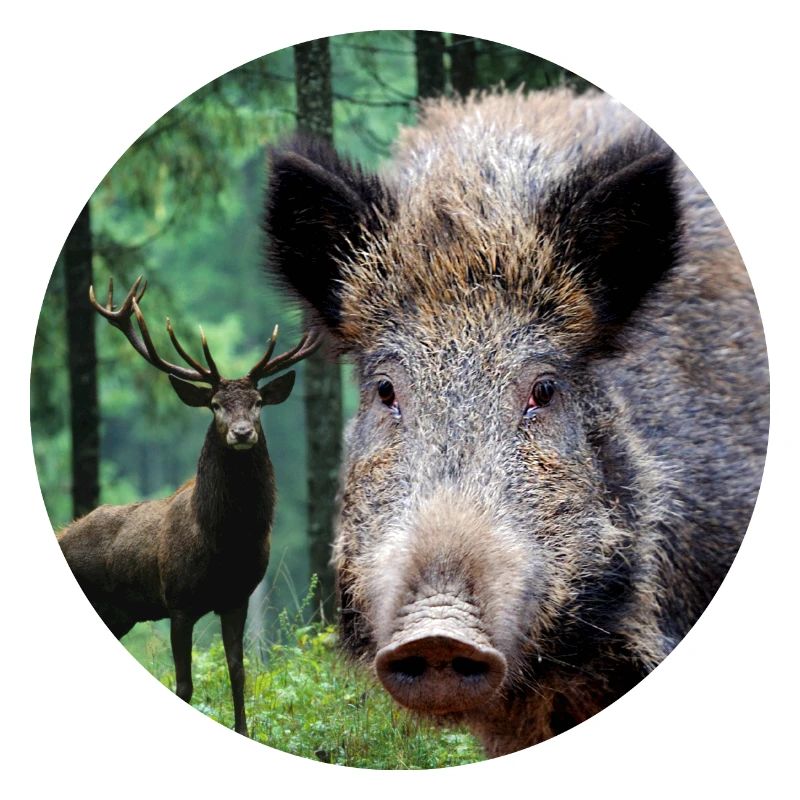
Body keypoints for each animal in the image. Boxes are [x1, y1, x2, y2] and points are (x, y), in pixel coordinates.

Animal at [57, 276, 319, 737]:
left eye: (257, 402)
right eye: (215, 404)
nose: (242, 432)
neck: (223, 543)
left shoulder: (237, 597)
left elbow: (238, 672)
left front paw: (243, 731)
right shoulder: (177, 601)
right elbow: (183, 685)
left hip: (117, 614)